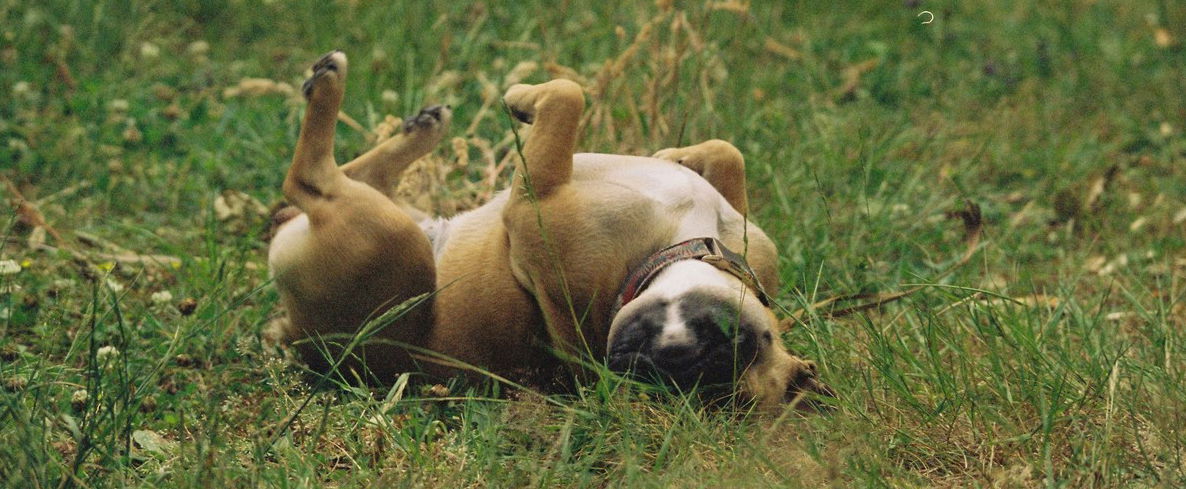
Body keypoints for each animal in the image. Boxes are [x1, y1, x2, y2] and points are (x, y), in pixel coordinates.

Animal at [269, 50, 830, 408]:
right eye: (733, 336)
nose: (662, 360)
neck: (681, 245)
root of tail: (297, 336)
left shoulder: (531, 199)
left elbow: (567, 96)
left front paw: (523, 95)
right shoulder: (749, 237)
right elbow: (728, 154)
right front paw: (680, 153)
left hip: (395, 245)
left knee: (305, 182)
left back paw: (331, 88)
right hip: (399, 219)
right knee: (331, 188)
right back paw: (420, 126)